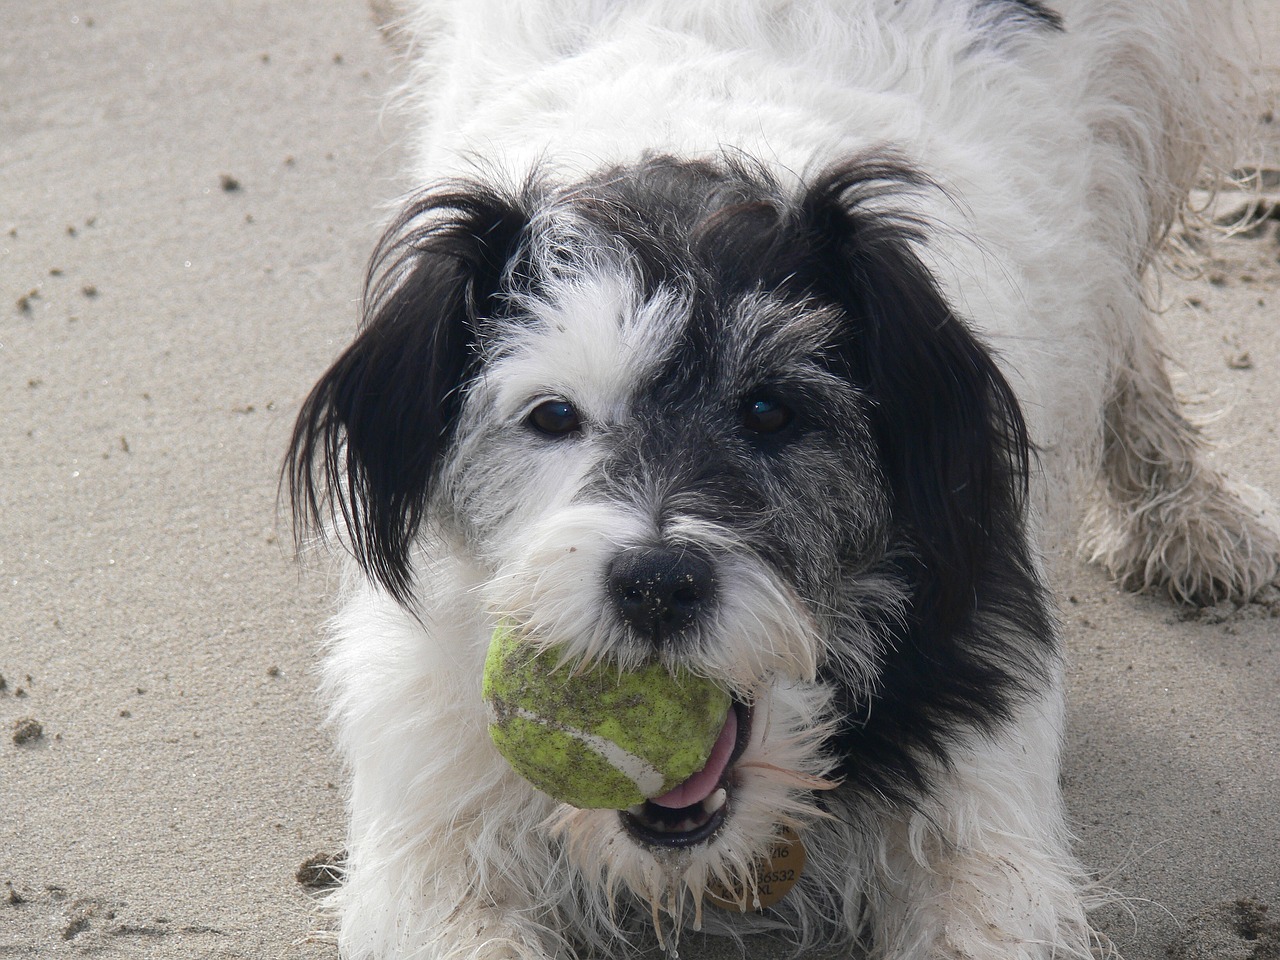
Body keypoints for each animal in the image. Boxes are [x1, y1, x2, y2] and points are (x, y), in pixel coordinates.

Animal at [285, 3, 1274, 957]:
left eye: (771, 410)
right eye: (553, 415)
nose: (657, 584)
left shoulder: (981, 808)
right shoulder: (433, 824)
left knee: (1122, 298)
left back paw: (1185, 503)